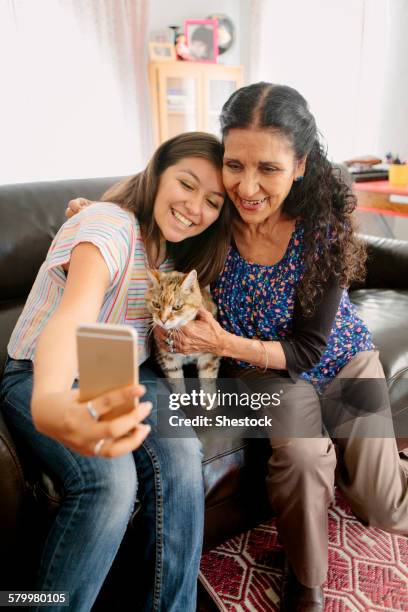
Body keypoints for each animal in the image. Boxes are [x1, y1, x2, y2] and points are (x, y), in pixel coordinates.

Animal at [146, 272, 220, 406]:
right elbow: (176, 378)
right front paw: (180, 398)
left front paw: (209, 400)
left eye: (177, 307)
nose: (163, 320)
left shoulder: (209, 353)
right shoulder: (168, 357)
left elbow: (208, 377)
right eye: (156, 305)